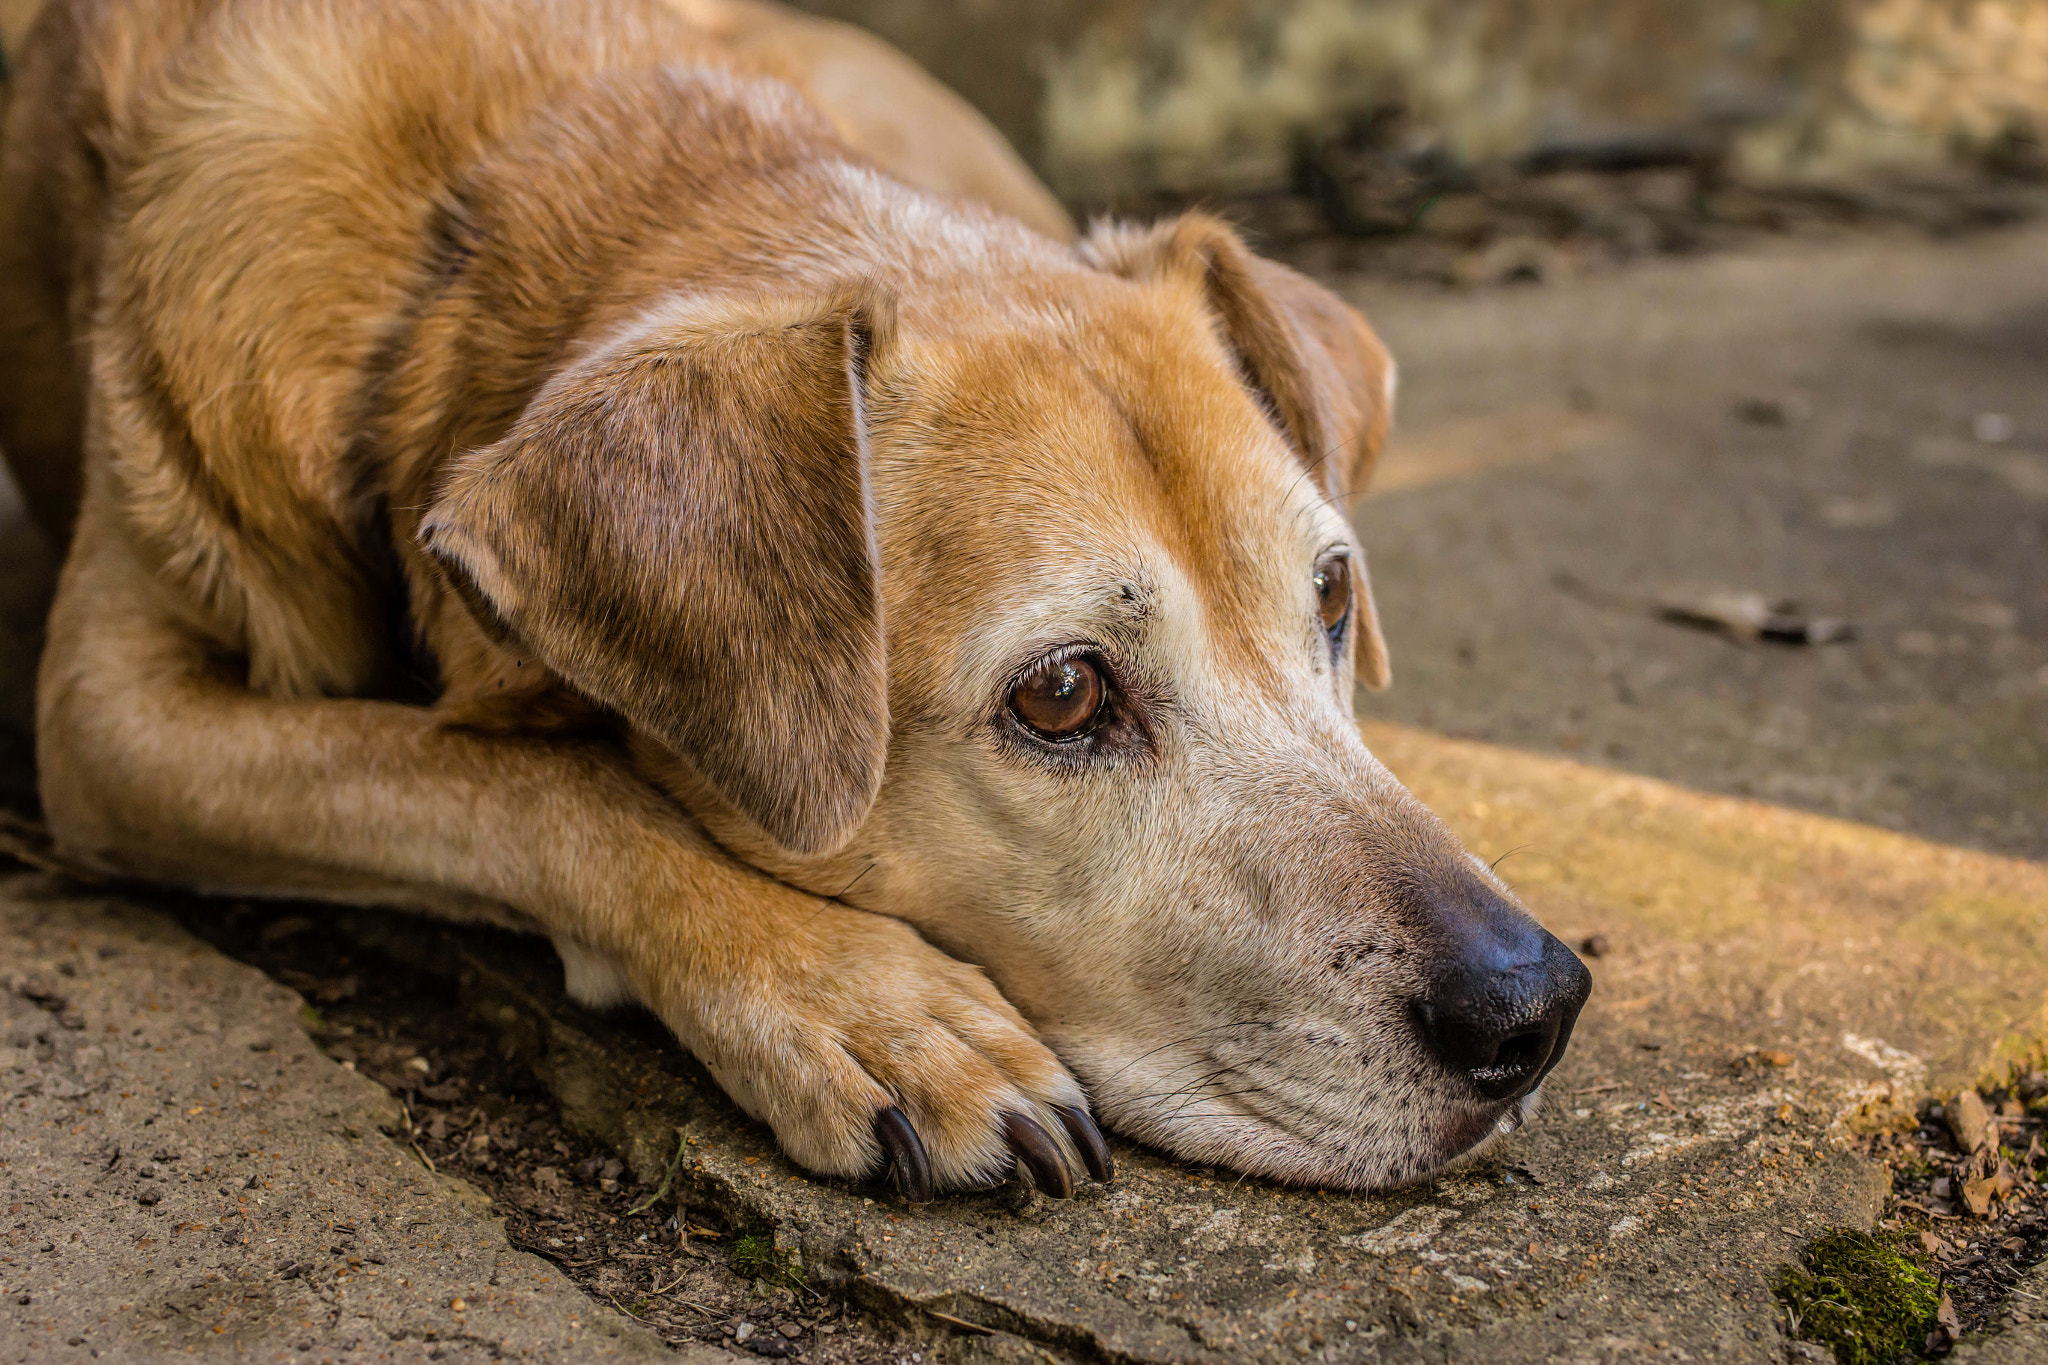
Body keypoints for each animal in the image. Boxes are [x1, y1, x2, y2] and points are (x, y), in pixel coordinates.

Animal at [0, 0, 1589, 1195]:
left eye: (1329, 594)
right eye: (1061, 694)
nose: (1536, 1007)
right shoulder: (107, 725)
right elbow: (510, 783)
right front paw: (866, 1005)